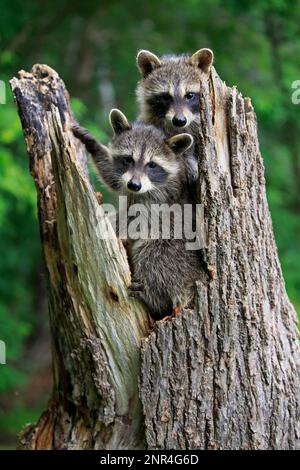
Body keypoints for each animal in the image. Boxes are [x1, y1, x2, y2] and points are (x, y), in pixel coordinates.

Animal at [72, 109, 202, 320]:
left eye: (152, 165)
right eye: (128, 159)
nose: (134, 184)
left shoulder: (163, 198)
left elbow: (137, 219)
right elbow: (113, 176)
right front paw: (94, 145)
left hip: (179, 253)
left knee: (155, 254)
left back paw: (154, 299)